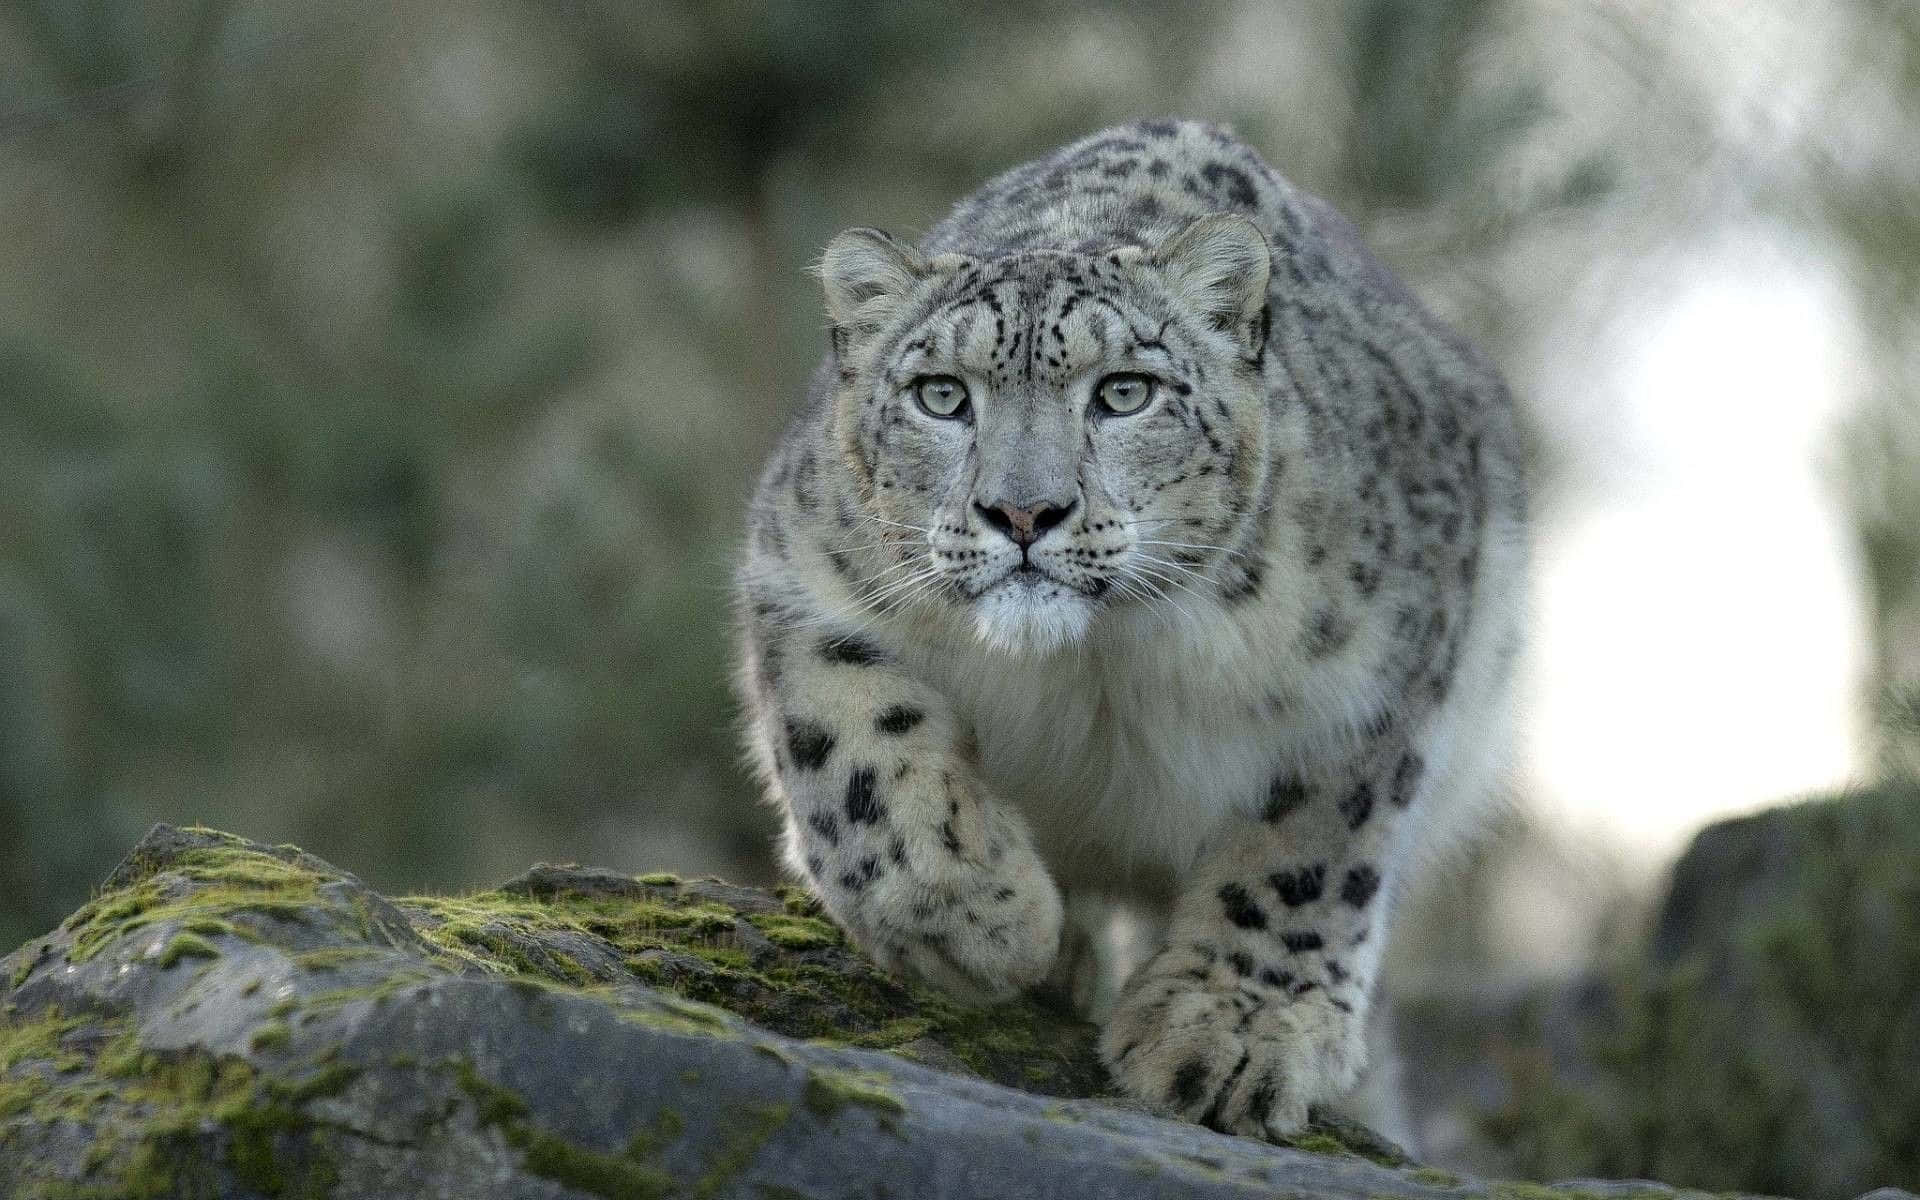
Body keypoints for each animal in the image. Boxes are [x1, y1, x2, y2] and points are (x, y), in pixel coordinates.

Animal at [733, 117, 1526, 1142]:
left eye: (1124, 392)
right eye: (942, 394)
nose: (1023, 512)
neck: (1096, 666)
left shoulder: (1382, 673)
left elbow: (1310, 849)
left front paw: (1230, 1034)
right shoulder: (801, 576)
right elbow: (855, 751)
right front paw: (980, 917)